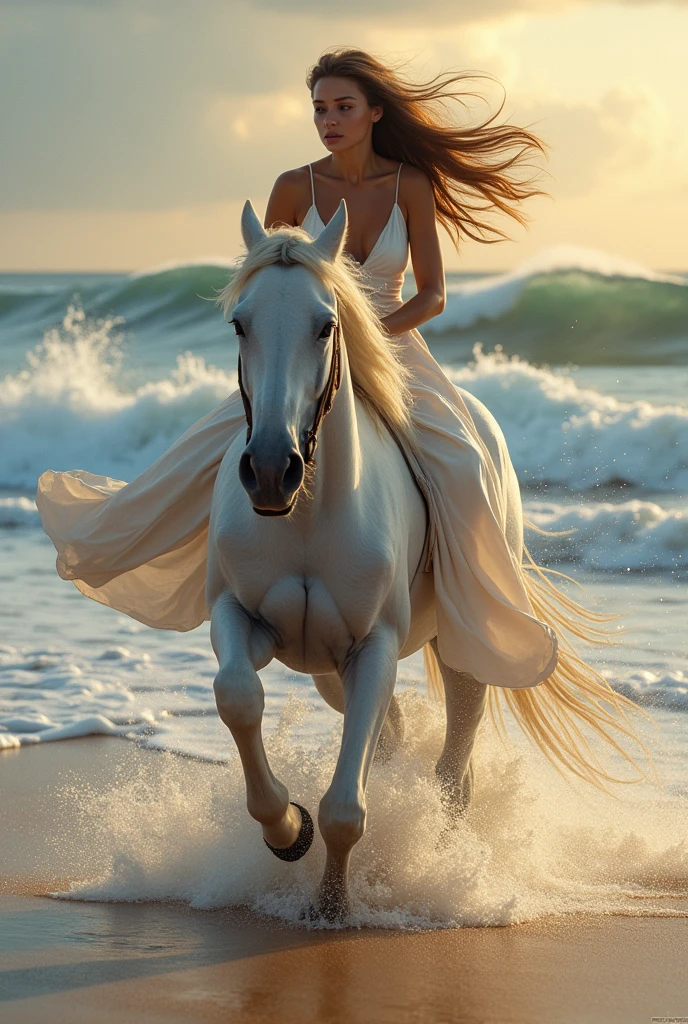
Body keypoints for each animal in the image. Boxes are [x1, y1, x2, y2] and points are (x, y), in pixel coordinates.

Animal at [206, 197, 647, 921]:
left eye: (326, 326)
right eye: (240, 324)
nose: (271, 470)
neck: (307, 516)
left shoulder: (376, 646)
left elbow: (346, 809)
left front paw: (331, 905)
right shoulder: (244, 618)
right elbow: (238, 696)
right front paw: (286, 828)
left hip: (461, 647)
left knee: (452, 771)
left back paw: (442, 861)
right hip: (329, 670)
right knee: (392, 736)